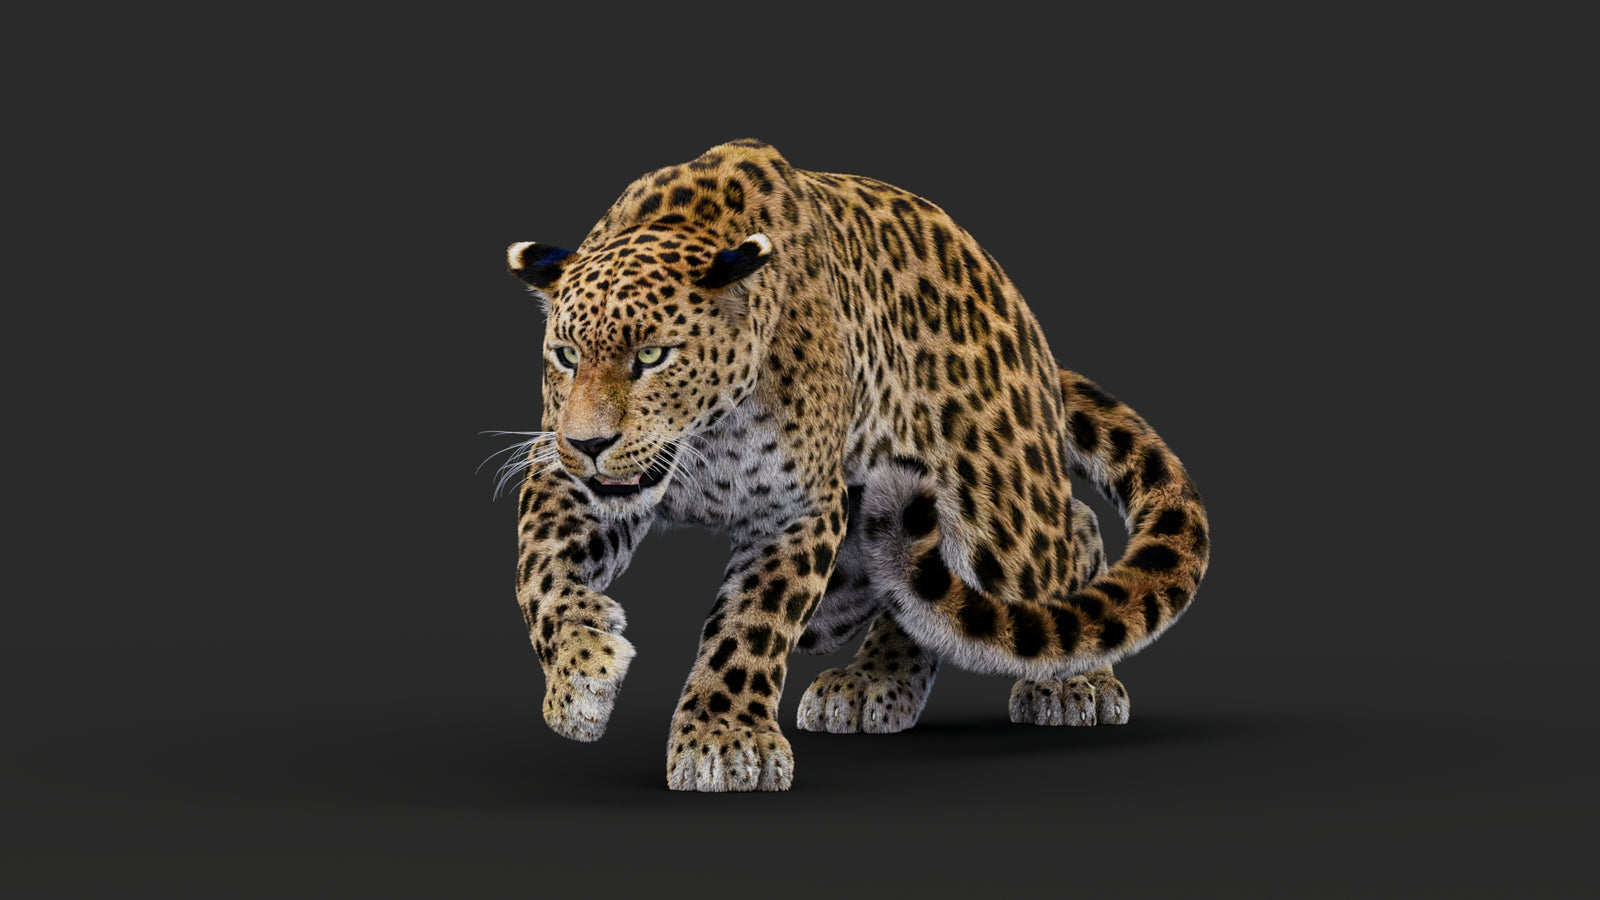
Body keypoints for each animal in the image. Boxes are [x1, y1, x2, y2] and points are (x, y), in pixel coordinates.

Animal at [498, 138, 1210, 792]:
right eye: (565, 356)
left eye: (651, 356)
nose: (590, 442)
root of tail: (1025, 322)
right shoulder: (561, 476)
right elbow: (539, 577)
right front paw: (581, 674)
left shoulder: (798, 508)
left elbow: (751, 625)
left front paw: (725, 740)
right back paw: (875, 680)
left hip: (1002, 515)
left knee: (1070, 536)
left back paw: (1071, 682)